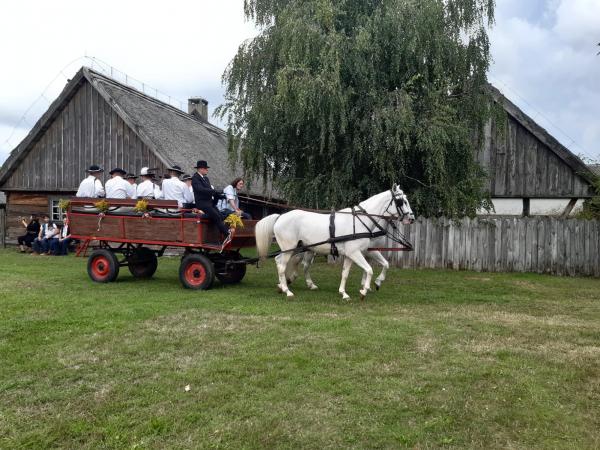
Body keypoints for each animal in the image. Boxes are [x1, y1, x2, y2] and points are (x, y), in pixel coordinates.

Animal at [255, 185, 414, 300]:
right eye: (402, 201)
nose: (411, 218)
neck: (360, 221)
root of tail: (280, 217)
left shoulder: (352, 254)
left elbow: (346, 273)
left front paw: (345, 292)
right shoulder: (356, 252)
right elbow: (369, 269)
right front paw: (364, 291)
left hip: (296, 248)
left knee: (281, 261)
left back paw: (283, 286)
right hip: (290, 248)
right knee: (282, 266)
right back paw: (287, 291)